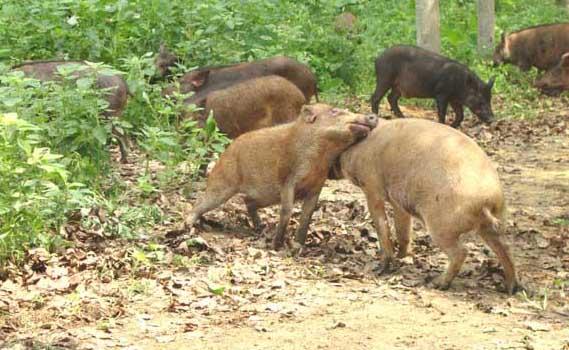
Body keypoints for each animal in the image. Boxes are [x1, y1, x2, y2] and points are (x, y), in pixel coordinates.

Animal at [183, 104, 378, 249]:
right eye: (334, 111)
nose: (373, 116)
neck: (318, 158)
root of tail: (224, 152)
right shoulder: (287, 181)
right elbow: (287, 210)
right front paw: (277, 245)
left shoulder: (317, 186)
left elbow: (307, 215)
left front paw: (299, 245)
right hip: (222, 182)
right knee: (200, 202)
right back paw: (187, 225)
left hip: (265, 196)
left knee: (247, 201)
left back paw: (260, 227)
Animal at [330, 119, 520, 294]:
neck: (357, 149)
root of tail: (487, 201)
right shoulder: (398, 202)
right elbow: (403, 230)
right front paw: (402, 257)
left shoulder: (372, 186)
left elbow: (381, 225)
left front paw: (382, 267)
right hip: (495, 222)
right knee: (506, 248)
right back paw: (511, 288)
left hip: (441, 226)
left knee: (461, 252)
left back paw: (437, 283)